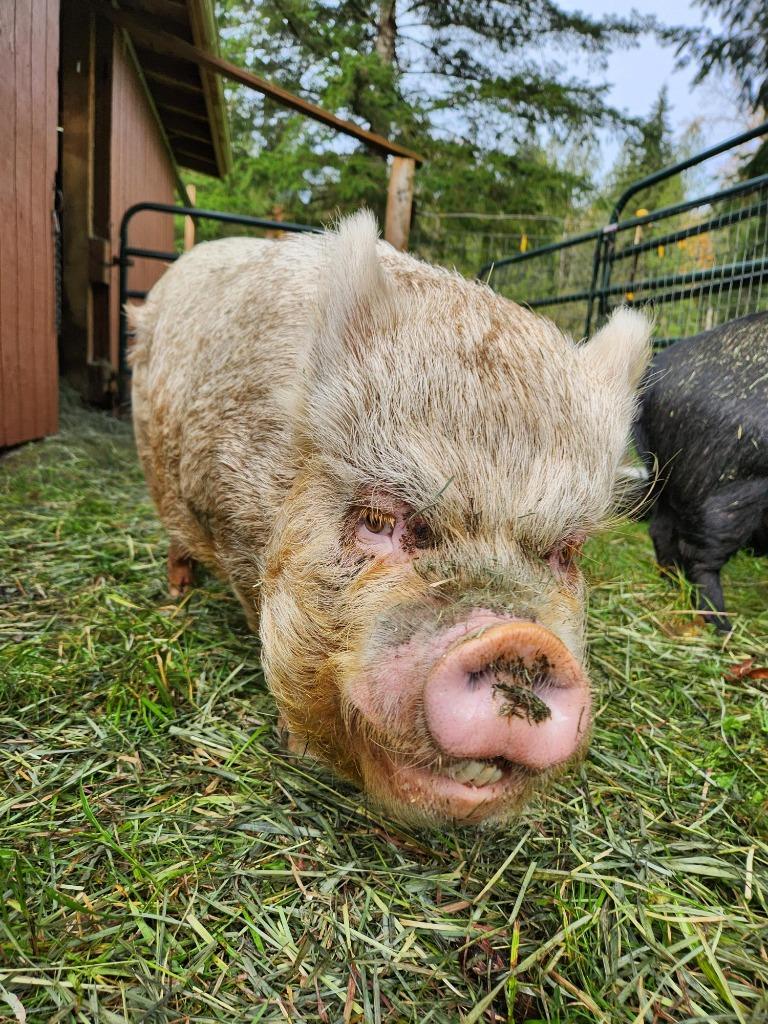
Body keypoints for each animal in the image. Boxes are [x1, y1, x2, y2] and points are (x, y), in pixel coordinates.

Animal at [634, 311, 768, 633]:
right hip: (732, 485)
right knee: (699, 555)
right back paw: (722, 626)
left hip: (666, 476)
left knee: (661, 530)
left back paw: (672, 584)